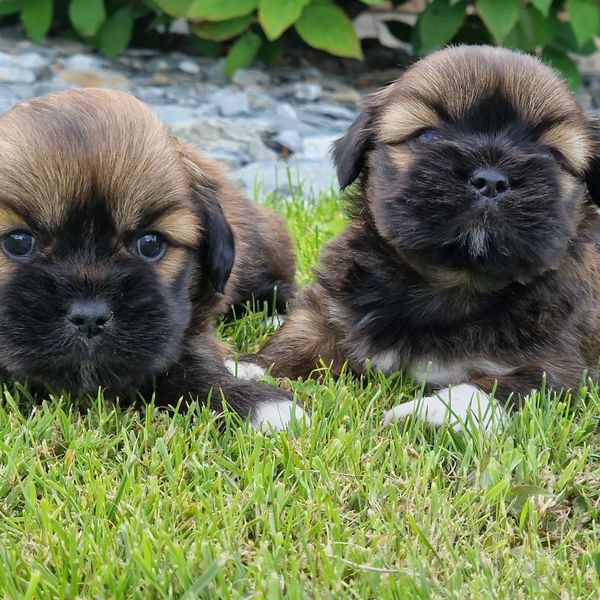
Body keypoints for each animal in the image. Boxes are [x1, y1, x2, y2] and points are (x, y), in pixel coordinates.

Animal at [241, 45, 600, 432]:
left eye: (550, 155)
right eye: (426, 137)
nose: (491, 179)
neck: (451, 285)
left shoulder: (556, 367)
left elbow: (493, 389)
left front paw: (431, 413)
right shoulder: (330, 316)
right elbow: (297, 341)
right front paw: (246, 370)